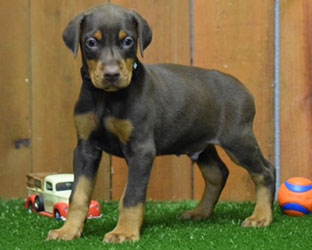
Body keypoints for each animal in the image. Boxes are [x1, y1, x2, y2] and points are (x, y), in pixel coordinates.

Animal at [46, 3, 276, 244]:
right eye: (91, 42)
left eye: (128, 41)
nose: (112, 75)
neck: (106, 98)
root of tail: (244, 89)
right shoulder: (86, 148)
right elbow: (78, 194)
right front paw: (68, 230)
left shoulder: (141, 149)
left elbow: (131, 196)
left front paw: (124, 232)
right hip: (200, 144)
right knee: (218, 173)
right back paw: (200, 212)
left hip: (238, 140)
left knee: (265, 171)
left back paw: (261, 217)